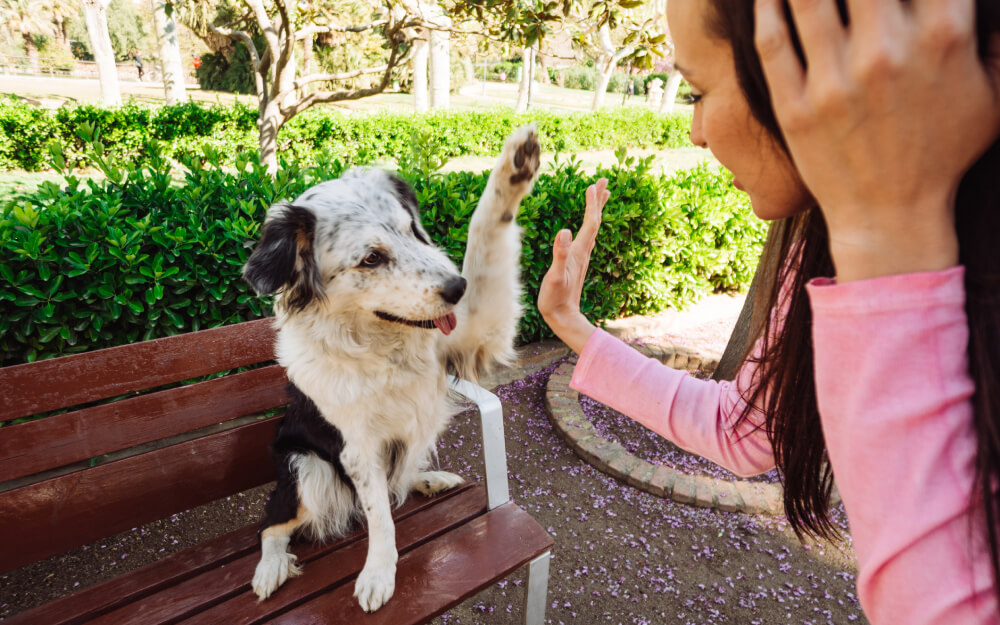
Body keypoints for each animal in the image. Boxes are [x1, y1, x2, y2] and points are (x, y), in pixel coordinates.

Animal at [240, 122, 540, 608]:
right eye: (371, 258)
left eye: (410, 232)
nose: (457, 287)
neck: (384, 345)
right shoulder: (357, 447)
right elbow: (380, 515)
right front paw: (379, 572)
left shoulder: (473, 334)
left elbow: (486, 243)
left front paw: (514, 169)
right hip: (305, 469)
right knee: (273, 523)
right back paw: (270, 569)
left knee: (401, 475)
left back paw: (428, 479)